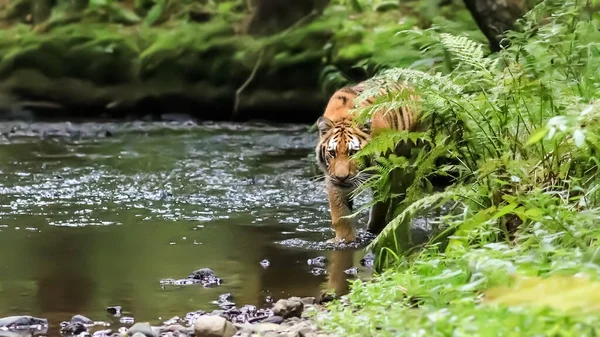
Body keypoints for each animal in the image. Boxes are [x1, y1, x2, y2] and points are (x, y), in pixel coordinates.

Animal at [314, 79, 422, 242]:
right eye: (332, 153)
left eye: (353, 152)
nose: (341, 177)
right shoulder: (332, 179)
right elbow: (341, 215)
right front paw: (345, 240)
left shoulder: (383, 174)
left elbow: (379, 207)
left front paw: (374, 233)